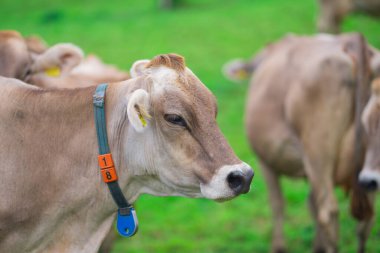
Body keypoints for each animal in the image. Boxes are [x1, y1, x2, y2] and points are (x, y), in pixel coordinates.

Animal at [224, 32, 380, 252]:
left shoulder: (264, 162)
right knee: (366, 221)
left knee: (329, 212)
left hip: (318, 151)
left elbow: (277, 204)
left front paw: (279, 247)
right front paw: (317, 246)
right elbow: (310, 204)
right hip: (367, 166)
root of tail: (350, 41)